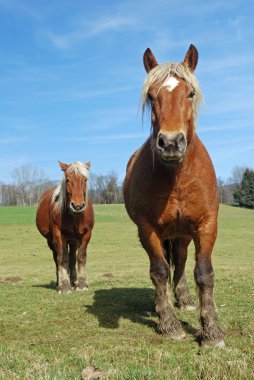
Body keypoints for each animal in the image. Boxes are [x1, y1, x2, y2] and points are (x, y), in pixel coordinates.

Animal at [36, 160, 94, 294]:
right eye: (67, 180)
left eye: (85, 179)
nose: (77, 206)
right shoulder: (59, 234)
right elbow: (62, 258)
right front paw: (64, 286)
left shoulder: (86, 234)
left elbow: (80, 257)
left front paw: (81, 284)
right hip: (51, 241)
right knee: (57, 257)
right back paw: (60, 282)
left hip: (73, 240)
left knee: (72, 257)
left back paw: (73, 281)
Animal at [123, 44, 224, 348]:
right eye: (151, 95)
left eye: (189, 93)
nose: (170, 143)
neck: (176, 177)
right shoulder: (148, 229)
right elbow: (158, 271)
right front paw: (168, 323)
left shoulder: (206, 225)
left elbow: (204, 273)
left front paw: (211, 331)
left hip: (182, 233)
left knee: (179, 262)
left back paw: (185, 298)